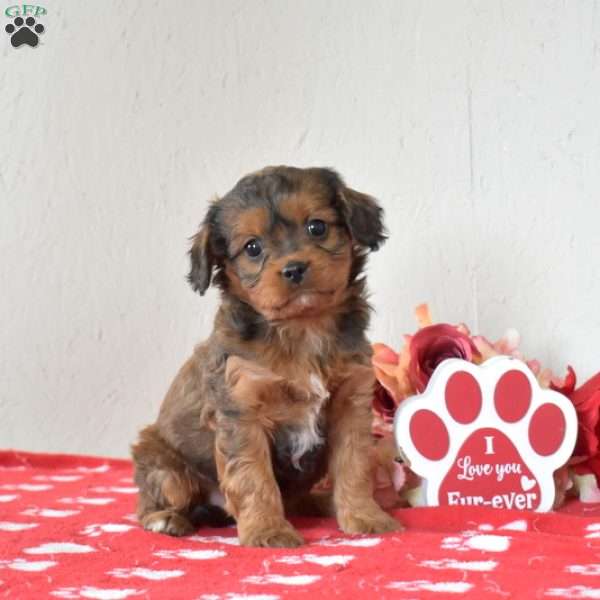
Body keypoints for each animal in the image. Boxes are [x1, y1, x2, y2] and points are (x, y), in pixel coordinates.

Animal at [134, 166, 400, 548]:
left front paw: (365, 515)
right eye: (253, 247)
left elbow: (354, 465)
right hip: (165, 467)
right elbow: (253, 478)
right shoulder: (241, 411)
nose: (294, 269)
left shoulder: (351, 405)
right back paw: (165, 520)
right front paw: (267, 530)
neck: (301, 330)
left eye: (317, 227)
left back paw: (321, 502)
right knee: (155, 499)